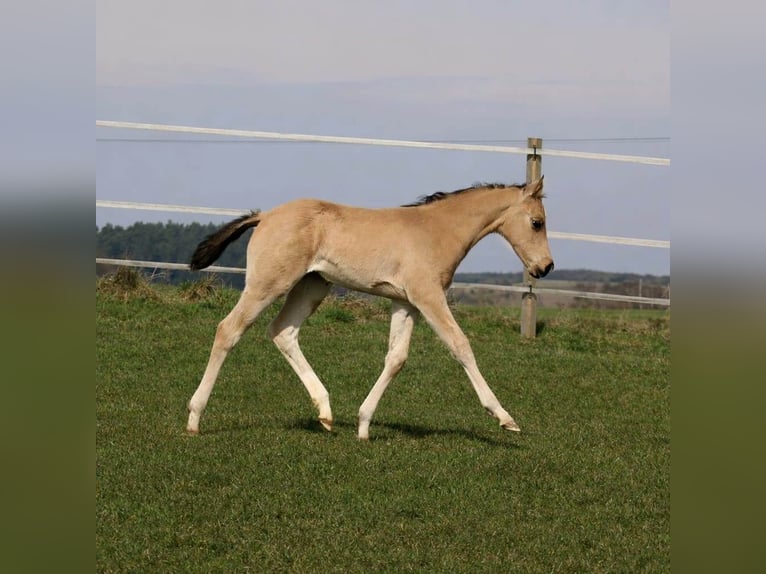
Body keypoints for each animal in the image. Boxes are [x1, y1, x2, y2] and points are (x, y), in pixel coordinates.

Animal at [186, 178, 553, 439]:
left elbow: (396, 358)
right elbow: (460, 345)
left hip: (312, 285)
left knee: (282, 332)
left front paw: (363, 425)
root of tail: (264, 216)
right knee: (229, 330)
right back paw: (194, 417)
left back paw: (325, 412)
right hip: (269, 283)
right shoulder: (428, 296)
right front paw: (504, 417)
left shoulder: (405, 303)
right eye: (537, 222)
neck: (436, 231)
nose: (546, 267)